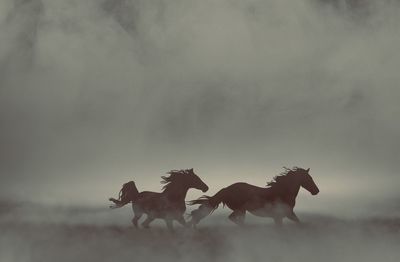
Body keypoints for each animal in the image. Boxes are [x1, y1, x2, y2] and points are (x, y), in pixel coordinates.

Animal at [188, 168, 318, 227]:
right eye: (309, 178)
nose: (316, 191)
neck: (282, 192)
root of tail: (227, 189)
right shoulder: (282, 215)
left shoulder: (283, 215)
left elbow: (298, 222)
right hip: (240, 209)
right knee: (232, 218)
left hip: (242, 211)